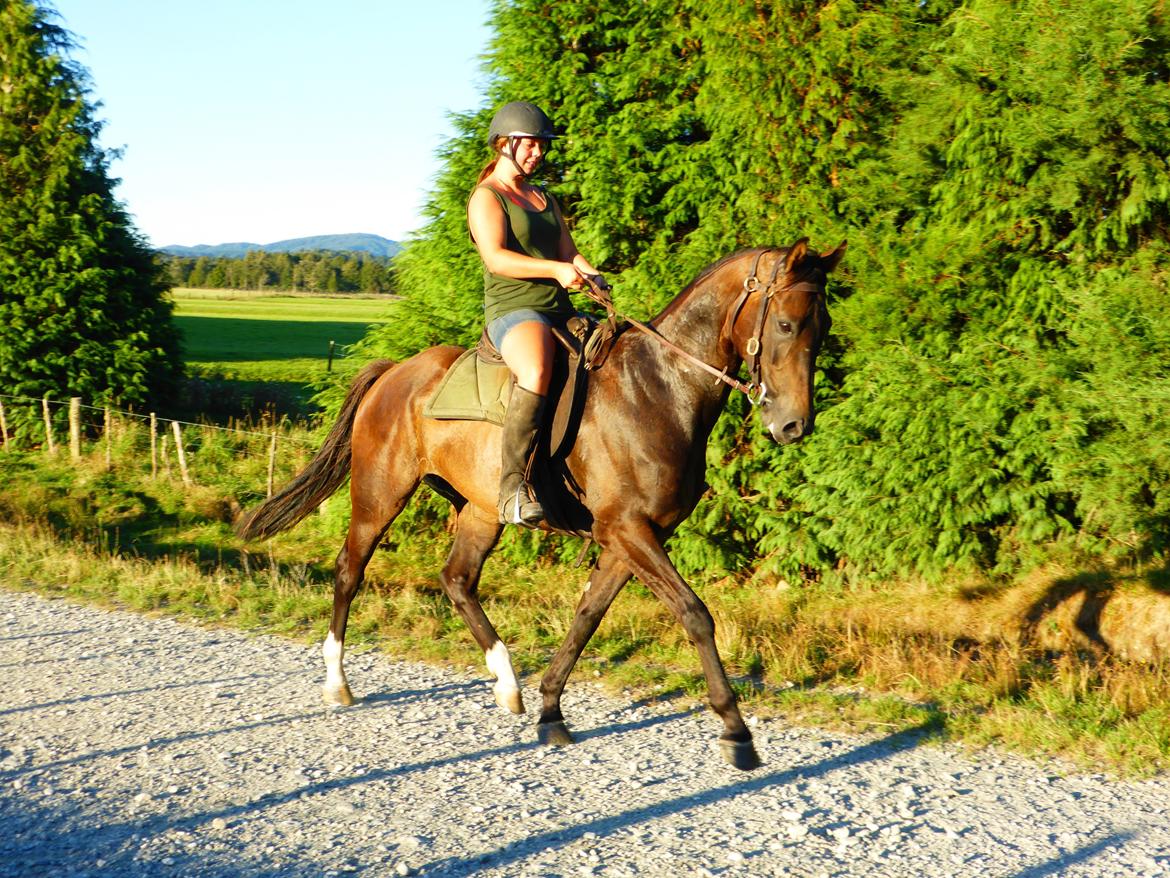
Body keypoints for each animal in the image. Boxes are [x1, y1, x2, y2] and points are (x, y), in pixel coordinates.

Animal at [237, 239, 845, 770]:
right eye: (786, 324)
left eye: (825, 328)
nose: (794, 425)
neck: (659, 388)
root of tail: (394, 372)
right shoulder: (629, 530)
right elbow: (695, 613)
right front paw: (736, 733)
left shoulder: (631, 537)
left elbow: (587, 615)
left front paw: (551, 709)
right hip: (379, 494)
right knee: (349, 570)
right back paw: (338, 682)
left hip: (482, 510)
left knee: (457, 579)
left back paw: (509, 685)